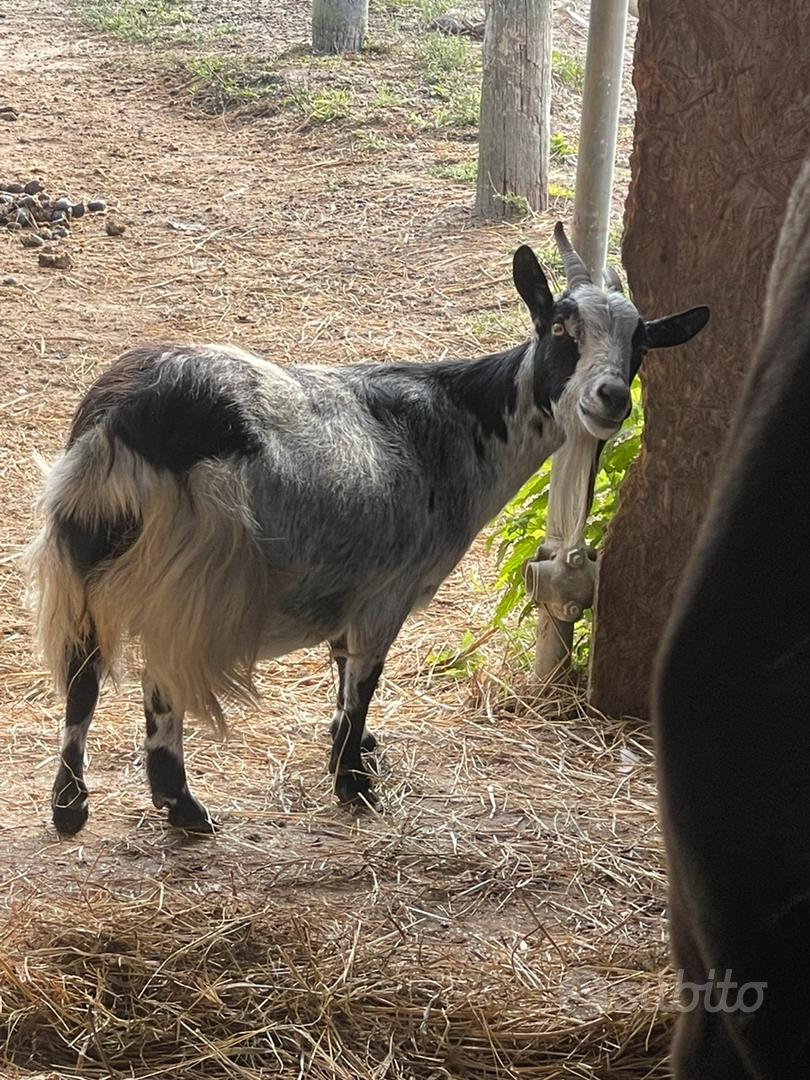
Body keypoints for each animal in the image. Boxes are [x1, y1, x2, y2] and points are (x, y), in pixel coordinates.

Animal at [28, 224, 708, 834]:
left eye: (641, 344)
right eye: (562, 327)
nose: (611, 398)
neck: (462, 426)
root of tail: (117, 423)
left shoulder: (346, 585)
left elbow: (340, 675)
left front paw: (350, 752)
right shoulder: (387, 591)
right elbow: (362, 683)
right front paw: (353, 783)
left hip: (85, 559)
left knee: (82, 677)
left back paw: (71, 809)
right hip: (189, 578)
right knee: (156, 679)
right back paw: (182, 808)